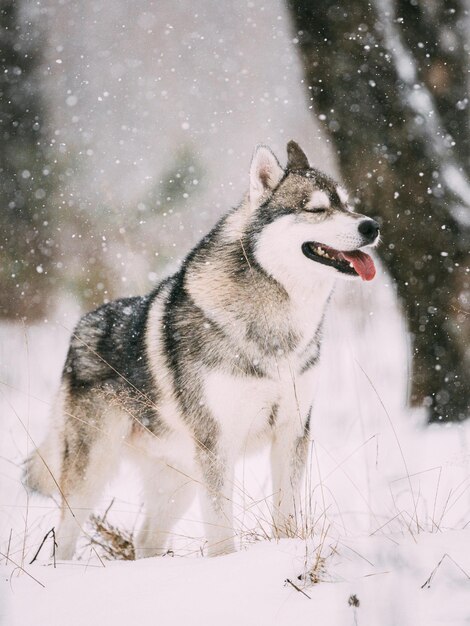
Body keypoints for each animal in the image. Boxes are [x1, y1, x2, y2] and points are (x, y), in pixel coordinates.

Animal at [23, 141, 380, 556]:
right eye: (316, 209)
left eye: (347, 204)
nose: (372, 226)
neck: (278, 328)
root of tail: (80, 329)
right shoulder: (218, 446)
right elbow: (222, 533)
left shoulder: (292, 433)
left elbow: (287, 516)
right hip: (93, 473)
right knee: (63, 539)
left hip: (177, 482)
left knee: (146, 538)